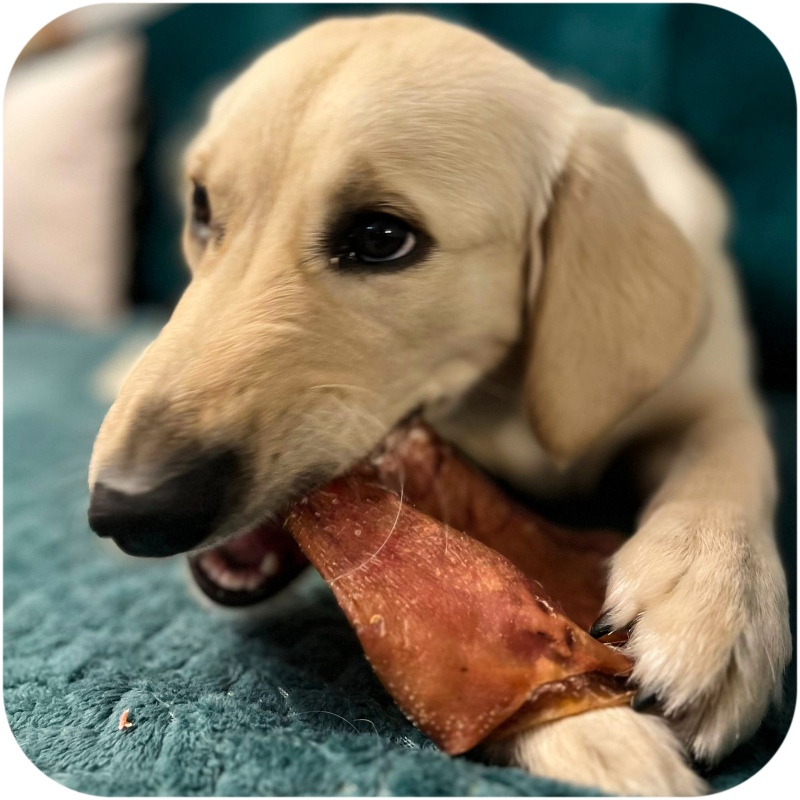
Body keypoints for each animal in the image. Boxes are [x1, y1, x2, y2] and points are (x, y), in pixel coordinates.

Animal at [87, 15, 788, 796]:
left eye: (381, 238)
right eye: (202, 207)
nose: (127, 508)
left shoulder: (713, 393)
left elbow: (728, 454)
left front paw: (714, 605)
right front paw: (595, 733)